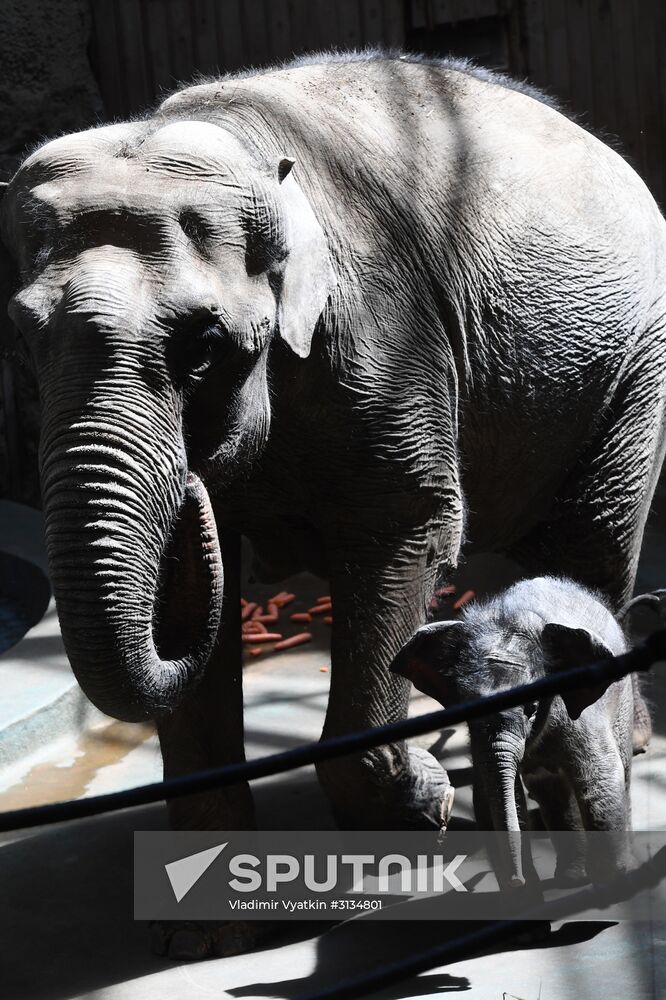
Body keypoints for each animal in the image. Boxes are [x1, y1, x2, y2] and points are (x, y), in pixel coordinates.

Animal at [390, 575, 640, 888]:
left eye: (531, 708)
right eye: (465, 707)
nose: (516, 880)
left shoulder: (581, 719)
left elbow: (601, 784)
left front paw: (612, 886)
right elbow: (488, 798)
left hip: (623, 698)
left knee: (621, 772)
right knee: (549, 789)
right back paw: (570, 878)